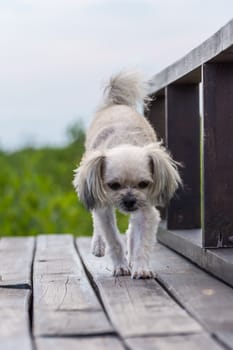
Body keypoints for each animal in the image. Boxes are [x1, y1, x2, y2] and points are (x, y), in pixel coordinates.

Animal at [73, 71, 181, 278]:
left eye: (144, 184)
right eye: (113, 185)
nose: (130, 201)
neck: (123, 141)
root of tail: (116, 103)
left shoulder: (146, 210)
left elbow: (142, 242)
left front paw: (141, 268)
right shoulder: (104, 208)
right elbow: (113, 239)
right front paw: (120, 266)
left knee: (131, 230)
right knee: (97, 223)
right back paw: (98, 245)